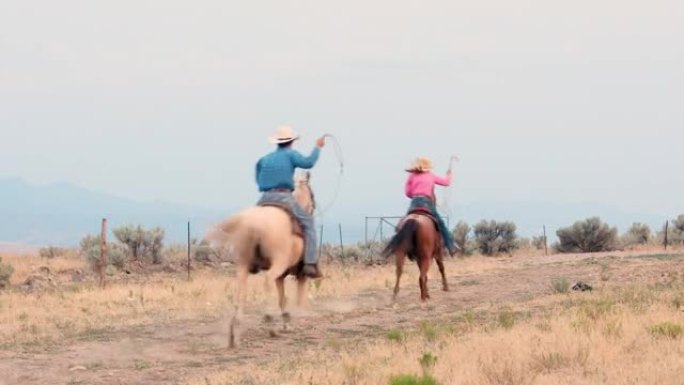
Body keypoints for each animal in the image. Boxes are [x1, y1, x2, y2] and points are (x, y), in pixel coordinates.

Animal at [207, 170, 316, 346]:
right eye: (312, 195)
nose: (312, 208)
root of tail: (254, 224)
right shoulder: (300, 274)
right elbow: (297, 298)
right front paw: (292, 322)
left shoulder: (282, 276)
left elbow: (282, 298)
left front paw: (287, 323)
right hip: (278, 264)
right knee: (266, 281)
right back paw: (269, 322)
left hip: (243, 265)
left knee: (241, 289)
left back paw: (234, 330)